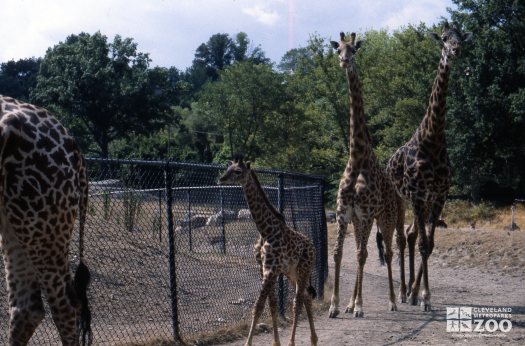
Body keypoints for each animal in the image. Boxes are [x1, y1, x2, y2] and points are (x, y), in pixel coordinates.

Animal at [218, 155, 318, 346]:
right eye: (227, 168)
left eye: (238, 171)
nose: (221, 179)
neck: (265, 231)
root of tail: (311, 245)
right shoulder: (263, 268)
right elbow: (271, 305)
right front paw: (275, 342)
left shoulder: (271, 269)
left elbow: (258, 306)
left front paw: (248, 343)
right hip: (292, 273)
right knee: (306, 298)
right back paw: (314, 339)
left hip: (304, 269)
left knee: (298, 302)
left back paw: (293, 342)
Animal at [326, 32, 404, 318]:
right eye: (338, 49)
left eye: (354, 50)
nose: (344, 61)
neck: (357, 156)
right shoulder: (344, 212)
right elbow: (338, 253)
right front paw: (336, 305)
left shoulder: (368, 212)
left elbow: (361, 255)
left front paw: (359, 306)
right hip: (361, 220)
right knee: (365, 250)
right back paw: (350, 304)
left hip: (387, 217)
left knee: (389, 252)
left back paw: (393, 301)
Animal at [384, 23, 470, 310]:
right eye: (444, 38)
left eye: (461, 37)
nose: (455, 50)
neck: (432, 140)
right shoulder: (417, 194)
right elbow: (422, 243)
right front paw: (423, 296)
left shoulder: (439, 195)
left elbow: (429, 244)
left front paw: (421, 294)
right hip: (400, 199)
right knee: (401, 238)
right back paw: (401, 292)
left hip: (420, 201)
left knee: (410, 235)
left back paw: (410, 290)